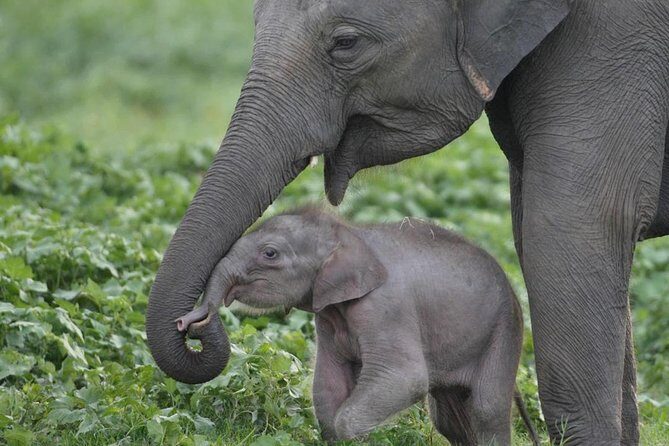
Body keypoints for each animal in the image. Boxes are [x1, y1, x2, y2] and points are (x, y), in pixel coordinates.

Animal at [175, 209, 540, 445]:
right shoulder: (327, 316)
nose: (188, 322)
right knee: (450, 418)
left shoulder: (387, 308)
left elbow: (404, 378)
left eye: (270, 254)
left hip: (504, 332)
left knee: (486, 410)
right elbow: (328, 383)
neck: (350, 234)